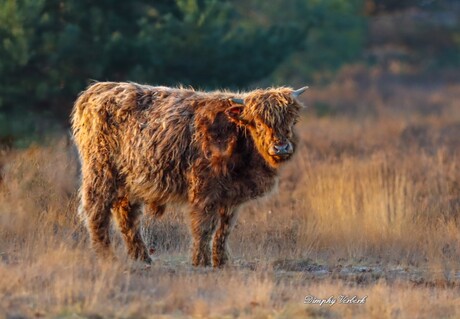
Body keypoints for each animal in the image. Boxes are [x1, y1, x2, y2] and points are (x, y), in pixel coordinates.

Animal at [72, 82, 308, 268]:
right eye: (258, 122)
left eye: (292, 121)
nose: (281, 148)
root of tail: (97, 89)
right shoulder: (205, 191)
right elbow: (204, 227)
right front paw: (200, 262)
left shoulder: (232, 197)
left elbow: (224, 230)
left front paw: (221, 262)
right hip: (100, 172)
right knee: (96, 211)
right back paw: (106, 256)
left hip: (130, 180)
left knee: (127, 216)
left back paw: (142, 258)